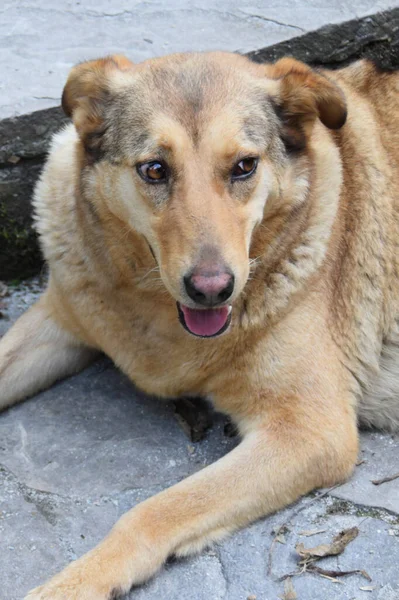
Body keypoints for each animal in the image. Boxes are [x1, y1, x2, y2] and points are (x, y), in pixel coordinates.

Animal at [0, 52, 399, 600]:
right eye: (154, 169)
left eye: (244, 166)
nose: (212, 288)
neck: (156, 314)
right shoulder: (58, 319)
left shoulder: (309, 431)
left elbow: (154, 511)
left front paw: (75, 582)